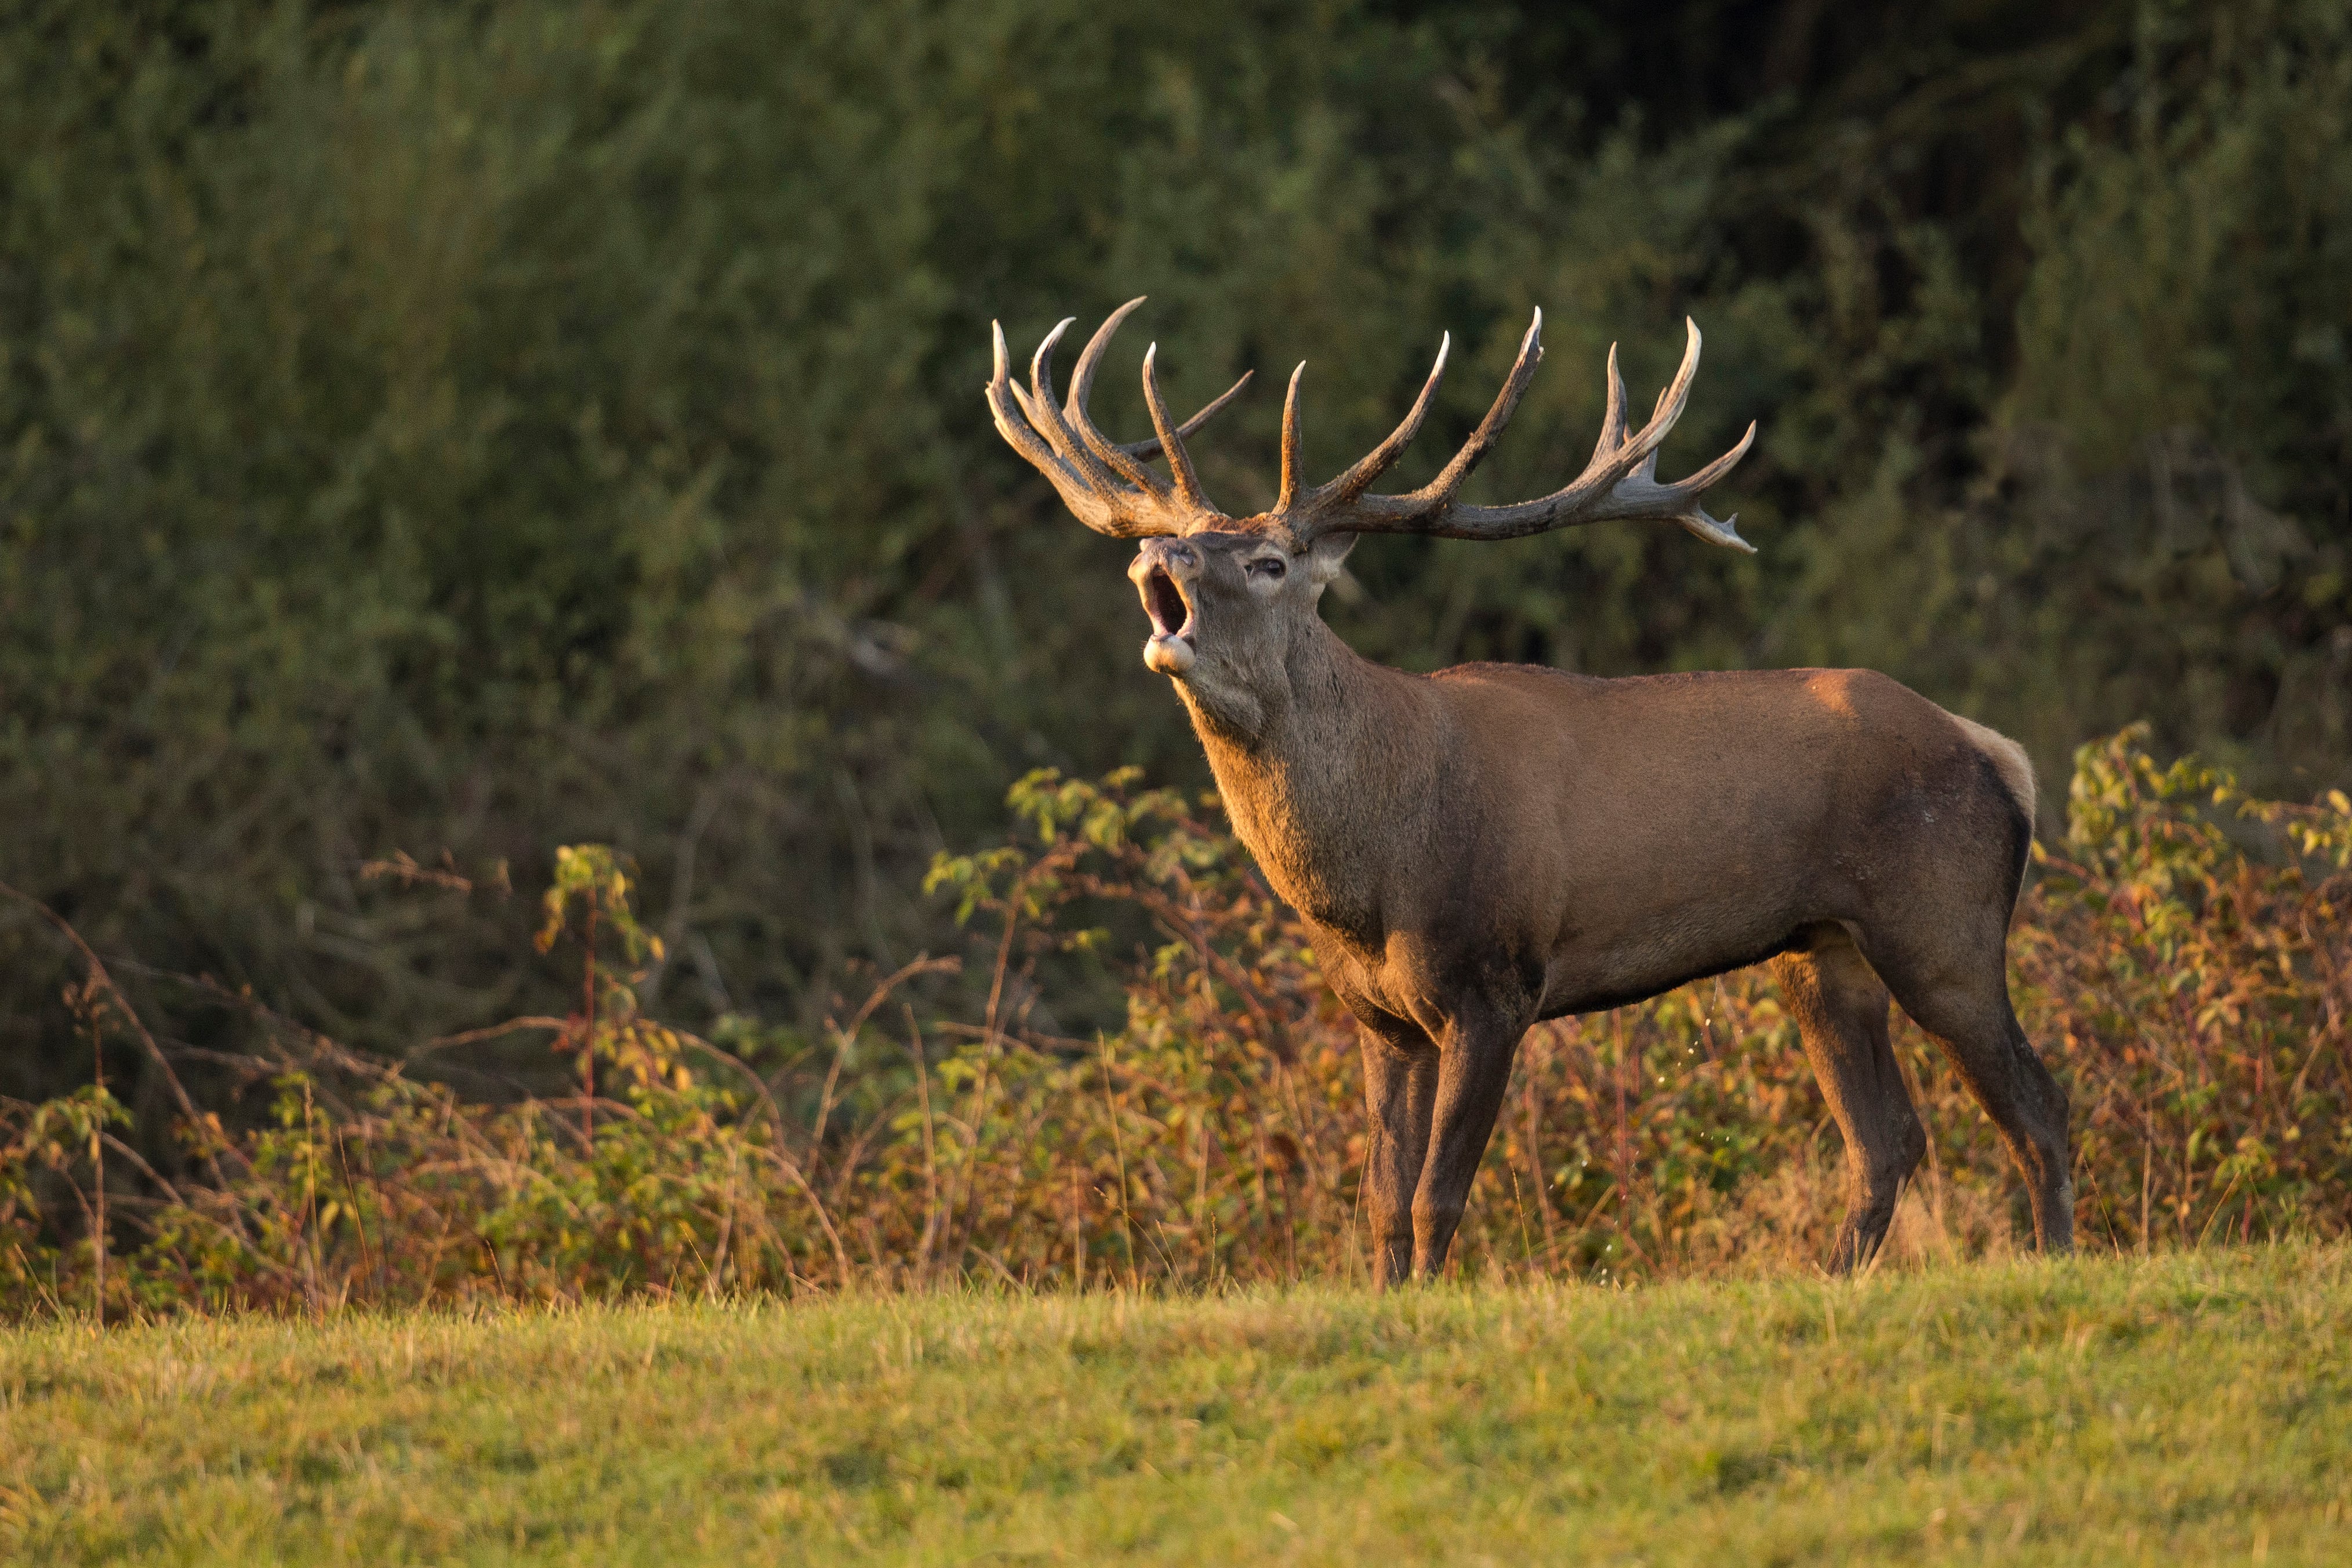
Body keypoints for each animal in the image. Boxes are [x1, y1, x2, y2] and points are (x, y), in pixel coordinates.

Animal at [985, 297, 2073, 1285]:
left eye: (1268, 560)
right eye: (1186, 541)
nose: (1156, 551)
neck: (1369, 872)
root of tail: (2000, 754)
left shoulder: (1494, 982)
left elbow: (1436, 1194)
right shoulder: (1378, 1015)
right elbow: (1381, 1200)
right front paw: (1387, 1299)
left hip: (1941, 921)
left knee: (2037, 1103)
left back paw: (2059, 1256)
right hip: (1821, 952)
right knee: (1886, 1139)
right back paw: (1836, 1276)